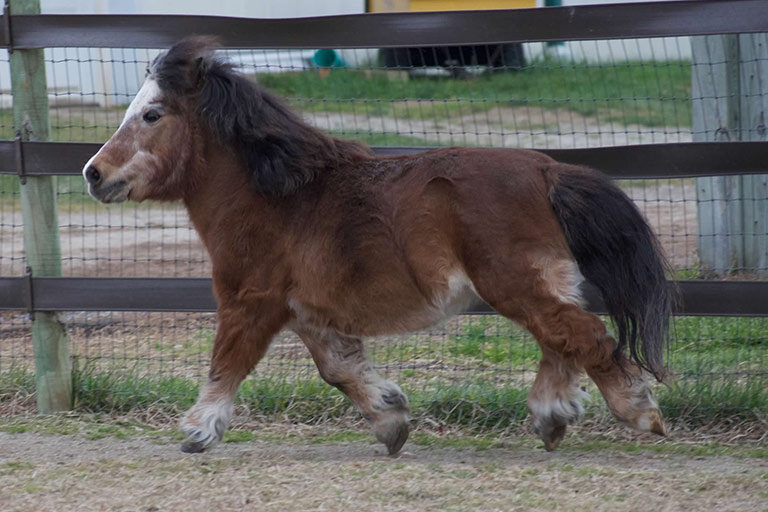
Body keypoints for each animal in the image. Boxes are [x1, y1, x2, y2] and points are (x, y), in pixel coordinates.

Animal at [85, 37, 672, 456]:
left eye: (152, 115)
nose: (94, 174)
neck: (276, 198)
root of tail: (548, 170)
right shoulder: (310, 315)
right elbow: (340, 370)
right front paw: (391, 422)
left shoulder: (249, 301)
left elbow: (226, 362)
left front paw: (199, 431)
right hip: (532, 286)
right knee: (563, 339)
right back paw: (553, 418)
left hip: (513, 284)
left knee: (584, 336)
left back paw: (640, 413)